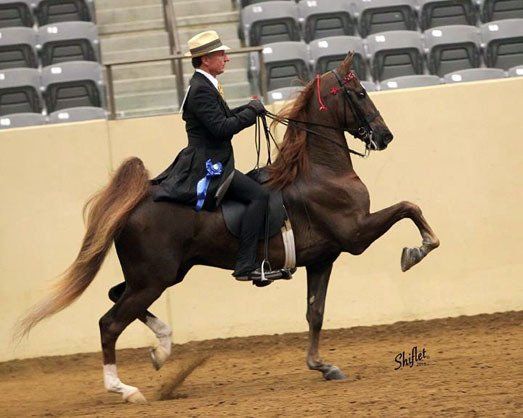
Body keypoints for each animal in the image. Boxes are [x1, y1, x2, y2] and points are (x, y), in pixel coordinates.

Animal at [16, 53, 439, 404]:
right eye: (360, 93)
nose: (385, 136)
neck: (320, 172)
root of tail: (135, 203)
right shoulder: (355, 235)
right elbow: (409, 208)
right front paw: (416, 251)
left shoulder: (323, 259)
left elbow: (315, 314)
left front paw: (323, 366)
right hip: (153, 278)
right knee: (109, 322)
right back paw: (125, 389)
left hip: (159, 275)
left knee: (116, 298)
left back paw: (162, 349)